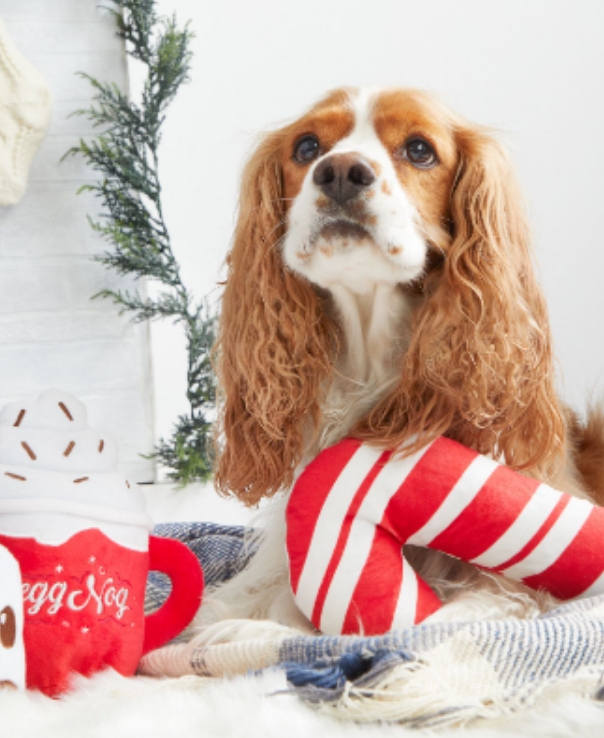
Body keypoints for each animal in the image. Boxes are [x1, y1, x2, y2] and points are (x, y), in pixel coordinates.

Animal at [192, 85, 604, 640]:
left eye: (419, 150)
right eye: (306, 147)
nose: (340, 171)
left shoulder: (512, 585)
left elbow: (449, 619)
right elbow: (241, 604)